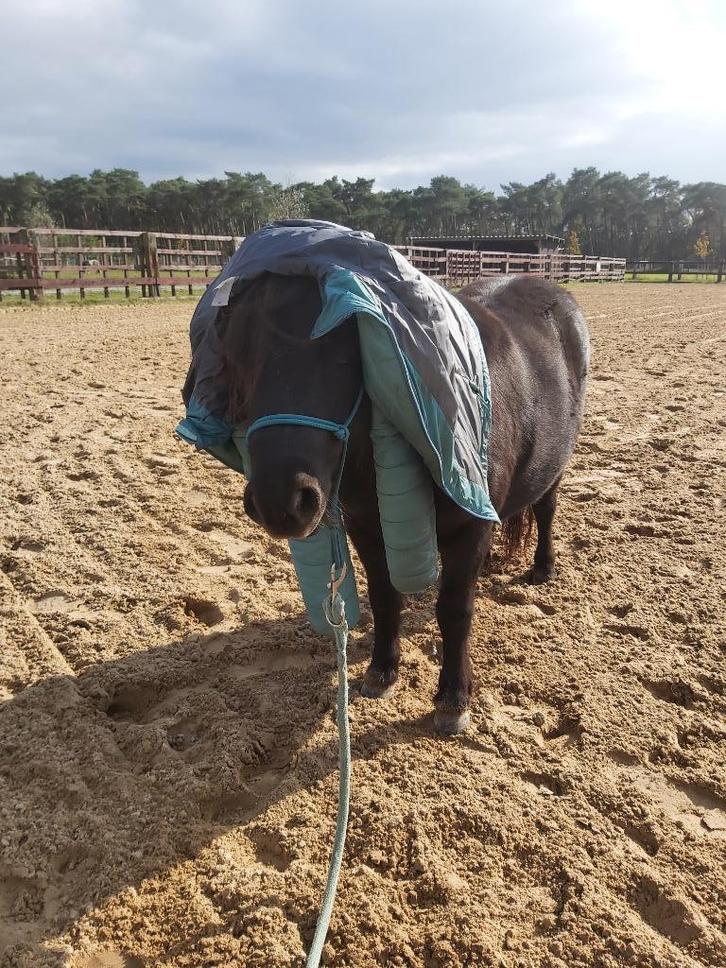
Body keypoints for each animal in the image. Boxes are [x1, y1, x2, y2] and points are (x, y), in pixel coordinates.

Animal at [219, 272, 589, 734]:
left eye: (342, 358)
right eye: (236, 358)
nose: (280, 500)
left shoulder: (468, 530)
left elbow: (455, 610)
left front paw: (453, 697)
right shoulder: (366, 528)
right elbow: (385, 599)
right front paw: (382, 671)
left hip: (555, 466)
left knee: (545, 508)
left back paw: (543, 567)